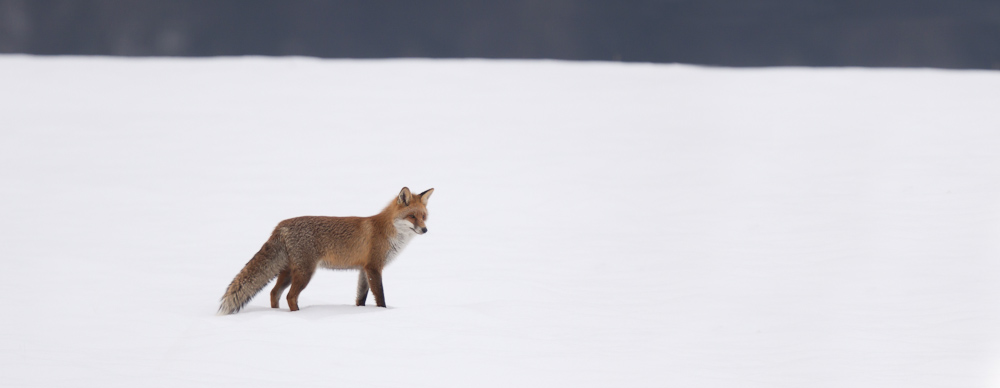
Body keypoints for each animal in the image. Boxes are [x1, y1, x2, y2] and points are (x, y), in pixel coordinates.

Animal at [217, 186, 432, 314]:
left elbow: (360, 297)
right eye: (412, 216)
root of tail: (281, 225)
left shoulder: (363, 269)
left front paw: (361, 313)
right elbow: (380, 296)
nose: (425, 230)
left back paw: (276, 315)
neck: (387, 230)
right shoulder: (373, 267)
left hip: (288, 272)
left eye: (424, 217)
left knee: (274, 293)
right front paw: (382, 313)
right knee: (289, 296)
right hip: (305, 273)